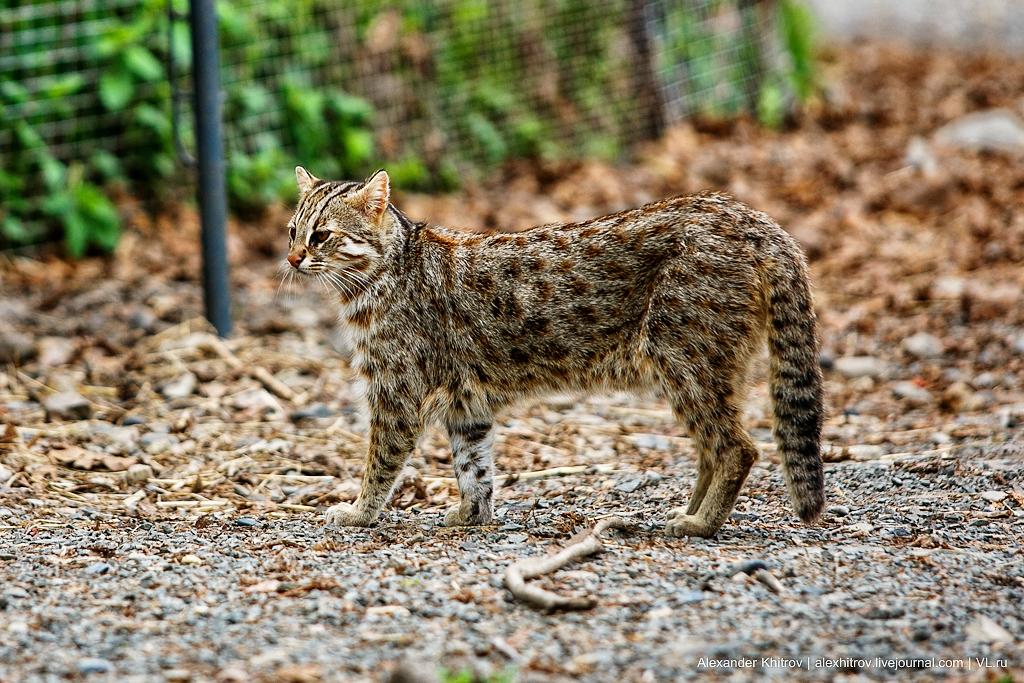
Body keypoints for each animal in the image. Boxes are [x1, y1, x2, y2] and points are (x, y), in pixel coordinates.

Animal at [286, 166, 823, 540]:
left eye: (322, 235)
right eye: (293, 231)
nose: (291, 258)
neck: (381, 275)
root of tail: (752, 217)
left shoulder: (396, 393)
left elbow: (381, 463)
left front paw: (359, 512)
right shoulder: (466, 405)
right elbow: (474, 466)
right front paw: (472, 514)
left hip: (686, 357)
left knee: (737, 448)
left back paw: (702, 523)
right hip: (701, 365)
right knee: (712, 448)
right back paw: (691, 512)